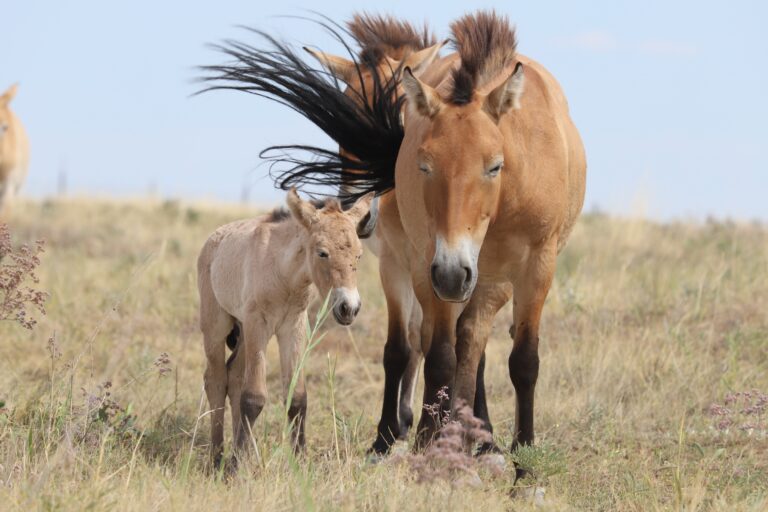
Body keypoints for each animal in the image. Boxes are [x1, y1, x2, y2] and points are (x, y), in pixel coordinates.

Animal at [197, 189, 373, 467]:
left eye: (359, 255)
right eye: (322, 253)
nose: (349, 308)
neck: (284, 274)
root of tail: (212, 241)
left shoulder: (293, 326)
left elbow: (297, 397)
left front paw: (300, 461)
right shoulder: (258, 323)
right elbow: (253, 397)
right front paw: (234, 467)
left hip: (245, 333)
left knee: (234, 376)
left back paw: (245, 452)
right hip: (217, 325)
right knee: (215, 379)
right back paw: (217, 458)